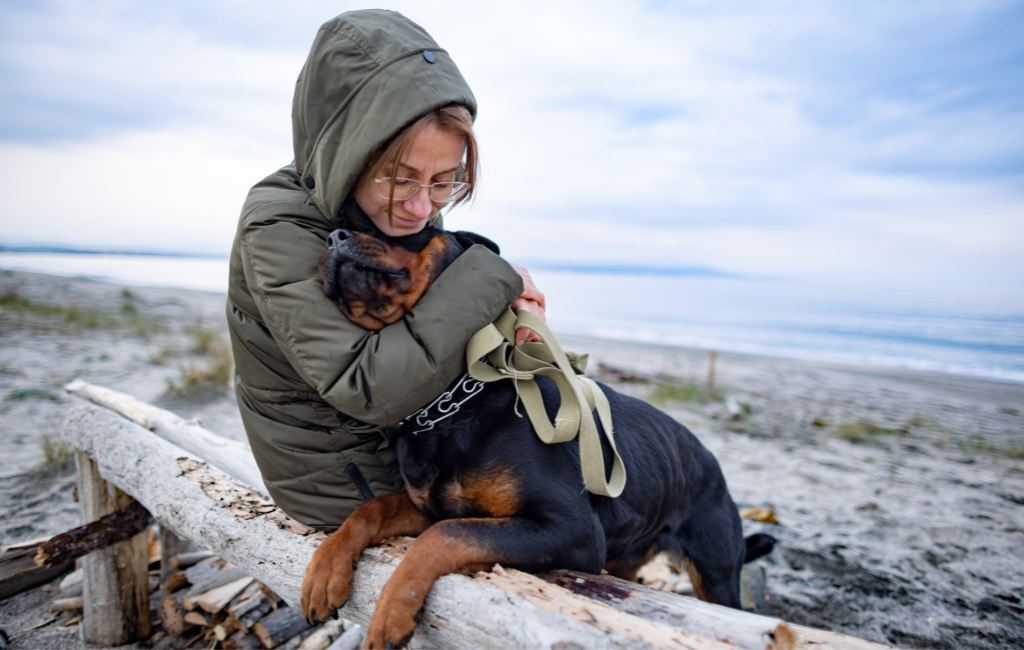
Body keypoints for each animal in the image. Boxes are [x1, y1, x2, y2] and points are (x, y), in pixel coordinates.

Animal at [303, 215, 774, 646]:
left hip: (715, 574)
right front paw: (326, 568)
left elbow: (445, 534)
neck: (451, 403)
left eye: (410, 228)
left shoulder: (572, 531)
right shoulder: (433, 505)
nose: (333, 238)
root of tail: (712, 461)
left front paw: (392, 610)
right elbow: (372, 509)